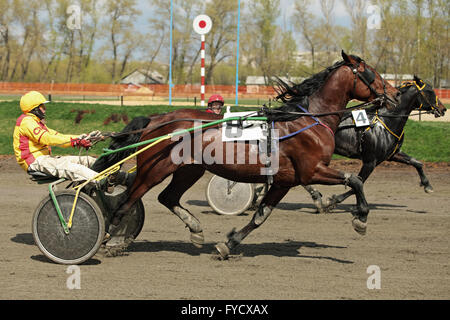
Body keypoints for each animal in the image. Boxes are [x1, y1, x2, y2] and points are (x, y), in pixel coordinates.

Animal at [94, 51, 398, 258]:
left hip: (189, 169)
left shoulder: (286, 180)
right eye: (372, 73)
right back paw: (109, 238)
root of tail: (157, 119)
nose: (395, 94)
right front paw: (360, 218)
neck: (307, 120)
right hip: (155, 169)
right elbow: (355, 180)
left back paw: (195, 230)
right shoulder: (312, 170)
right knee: (128, 200)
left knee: (167, 197)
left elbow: (261, 216)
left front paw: (228, 244)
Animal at [302, 75, 446, 212]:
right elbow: (358, 182)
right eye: (430, 91)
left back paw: (315, 195)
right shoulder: (370, 161)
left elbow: (417, 163)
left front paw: (427, 185)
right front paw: (332, 201)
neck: (386, 120)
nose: (443, 109)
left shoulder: (391, 154)